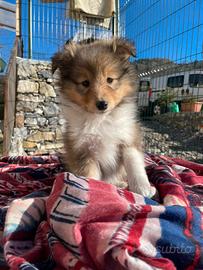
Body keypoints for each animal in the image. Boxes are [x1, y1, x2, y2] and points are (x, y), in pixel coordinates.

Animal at [52, 38, 155, 197]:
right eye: (85, 82)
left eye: (110, 80)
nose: (102, 104)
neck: (101, 120)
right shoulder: (84, 152)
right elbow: (91, 176)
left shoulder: (128, 138)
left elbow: (134, 163)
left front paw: (143, 188)